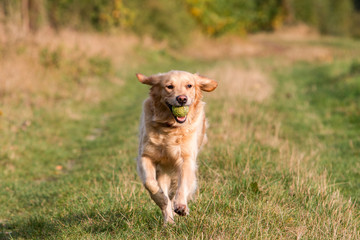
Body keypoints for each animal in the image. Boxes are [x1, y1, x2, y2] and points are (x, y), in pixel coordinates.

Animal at [136, 70, 218, 224]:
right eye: (169, 86)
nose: (182, 99)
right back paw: (169, 222)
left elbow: (183, 185)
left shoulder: (186, 159)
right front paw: (162, 199)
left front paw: (181, 206)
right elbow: (151, 184)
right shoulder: (146, 156)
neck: (170, 127)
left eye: (189, 85)